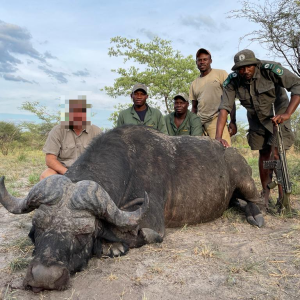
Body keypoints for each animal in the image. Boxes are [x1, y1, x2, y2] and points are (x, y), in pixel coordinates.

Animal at [0, 124, 262, 290]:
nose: (43, 278)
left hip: (246, 181)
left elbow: (132, 236)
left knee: (256, 200)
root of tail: (229, 152)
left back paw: (256, 216)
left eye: (84, 234)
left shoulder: (152, 222)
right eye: (37, 228)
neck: (129, 164)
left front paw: (114, 246)